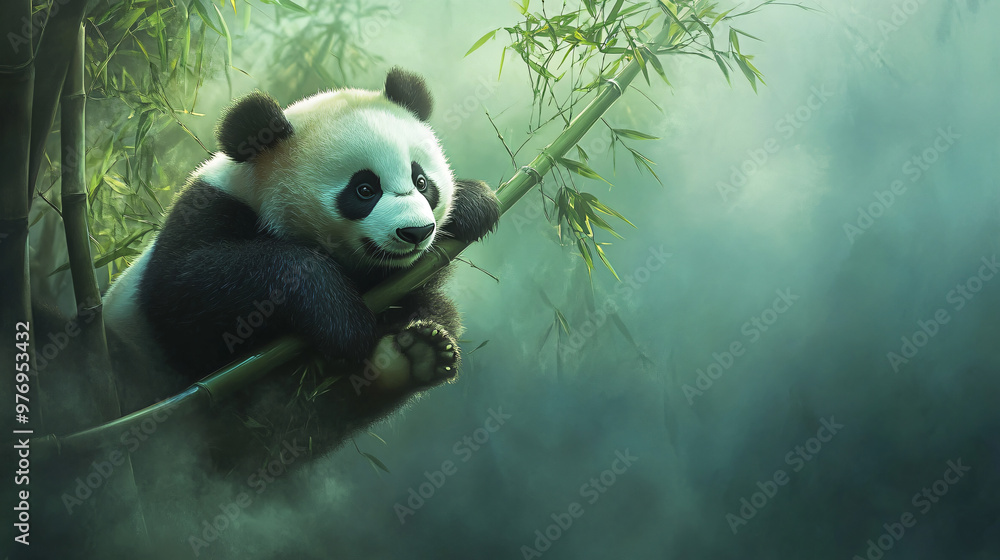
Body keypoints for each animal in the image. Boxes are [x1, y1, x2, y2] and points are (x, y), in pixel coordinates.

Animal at [101, 68, 500, 468]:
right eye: (364, 189)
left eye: (421, 181)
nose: (416, 232)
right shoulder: (202, 216)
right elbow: (184, 289)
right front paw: (341, 318)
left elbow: (418, 282)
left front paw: (473, 203)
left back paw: (415, 356)